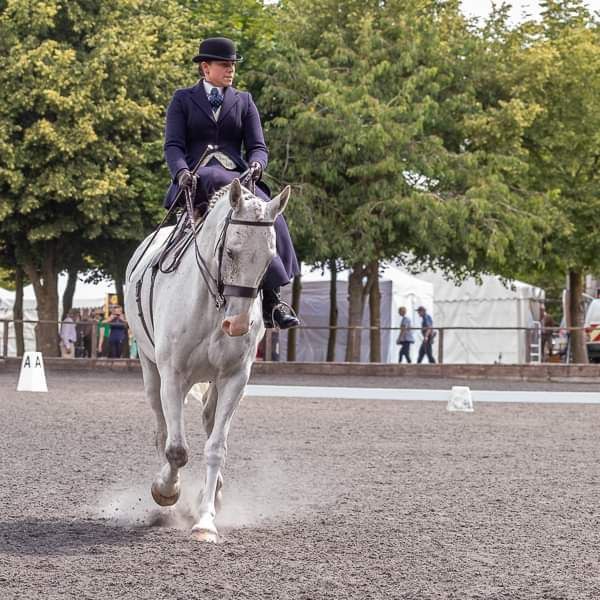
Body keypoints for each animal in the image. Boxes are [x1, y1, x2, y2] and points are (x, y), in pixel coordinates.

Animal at [123, 179, 288, 544]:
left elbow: (215, 447)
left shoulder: (235, 378)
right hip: (151, 370)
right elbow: (176, 449)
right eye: (231, 251)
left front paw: (205, 521)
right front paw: (166, 490)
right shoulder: (173, 375)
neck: (214, 303)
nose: (238, 325)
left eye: (270, 259)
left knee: (209, 421)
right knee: (162, 429)